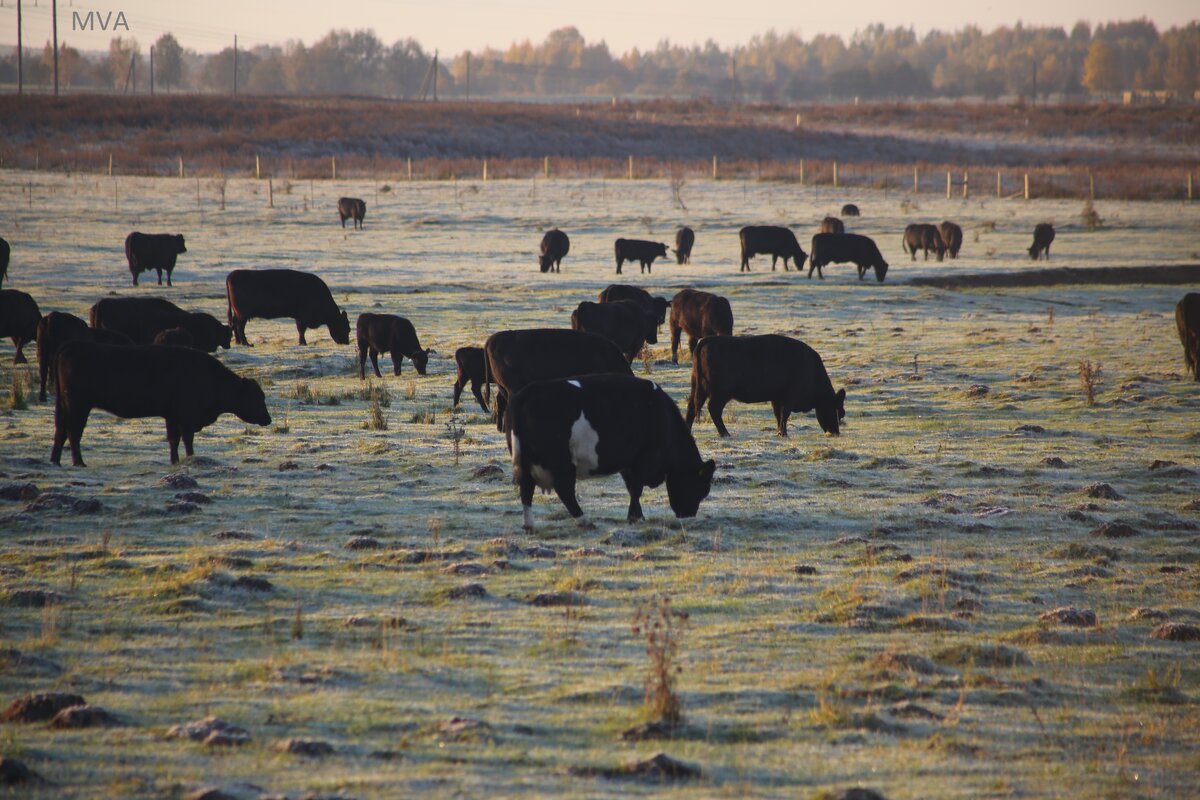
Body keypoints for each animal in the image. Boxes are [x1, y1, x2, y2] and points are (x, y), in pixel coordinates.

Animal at [51, 340, 270, 465]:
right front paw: (190, 458)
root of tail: (69, 347)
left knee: (61, 431)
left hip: (65, 406)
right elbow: (187, 439)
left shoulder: (171, 416)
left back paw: (56, 462)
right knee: (73, 432)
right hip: (79, 406)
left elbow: (174, 439)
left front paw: (175, 461)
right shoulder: (186, 418)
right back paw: (79, 463)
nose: (268, 419)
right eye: (258, 397)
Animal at [504, 374, 710, 534]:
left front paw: (637, 516)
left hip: (527, 462)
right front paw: (634, 517)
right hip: (561, 463)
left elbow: (632, 488)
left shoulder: (628, 464)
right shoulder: (642, 460)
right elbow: (636, 489)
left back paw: (529, 526)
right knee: (565, 491)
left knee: (526, 490)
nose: (688, 515)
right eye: (701, 489)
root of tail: (526, 394)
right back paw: (585, 521)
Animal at [691, 335, 849, 441]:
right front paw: (783, 433)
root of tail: (708, 340)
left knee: (692, 408)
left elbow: (778, 415)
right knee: (713, 409)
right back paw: (725, 433)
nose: (835, 433)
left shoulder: (777, 398)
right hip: (720, 394)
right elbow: (784, 414)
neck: (811, 369)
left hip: (700, 389)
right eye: (839, 412)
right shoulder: (789, 398)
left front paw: (780, 432)